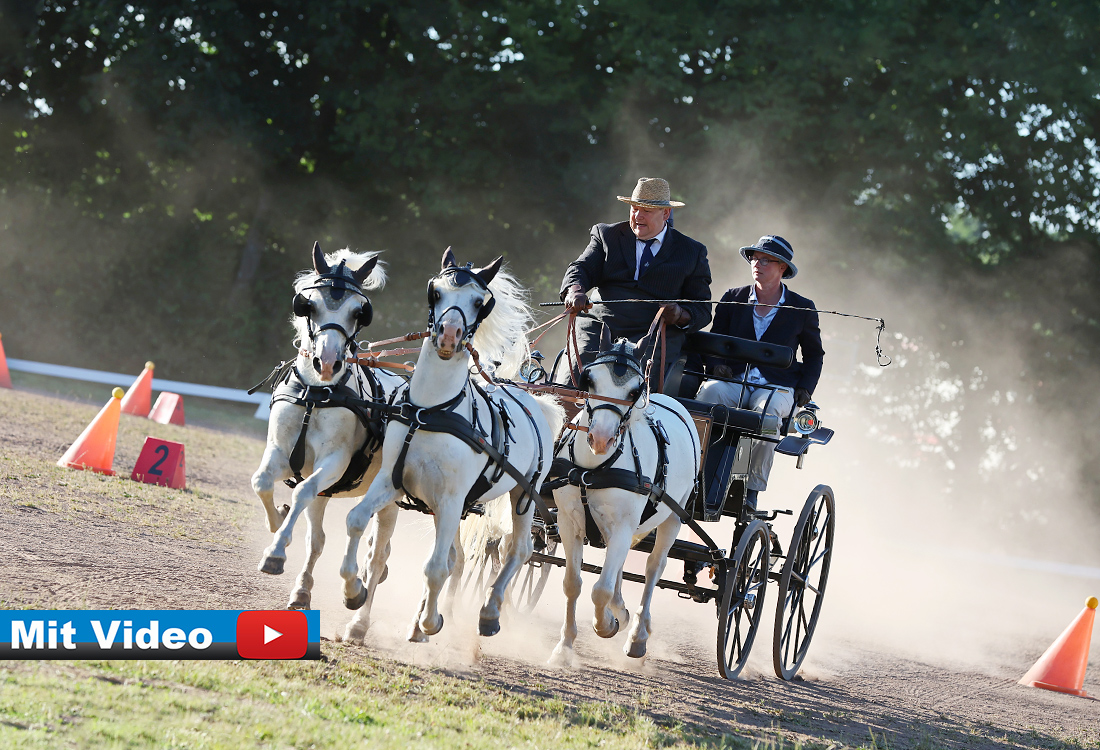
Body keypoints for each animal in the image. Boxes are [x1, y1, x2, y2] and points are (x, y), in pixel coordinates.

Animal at [250, 242, 407, 611]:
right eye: (308, 303)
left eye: (359, 312)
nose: (328, 363)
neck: (315, 394)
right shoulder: (282, 453)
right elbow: (262, 482)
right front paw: (278, 521)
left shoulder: (333, 462)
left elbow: (301, 491)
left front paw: (276, 551)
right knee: (318, 540)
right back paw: (302, 590)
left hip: (389, 499)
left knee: (377, 555)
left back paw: (358, 595)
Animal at [338, 248, 564, 644]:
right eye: (436, 292)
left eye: (479, 302)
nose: (448, 335)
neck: (431, 411)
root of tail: (534, 400)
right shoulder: (392, 482)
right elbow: (356, 520)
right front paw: (354, 592)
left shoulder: (451, 499)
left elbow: (435, 567)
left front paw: (431, 622)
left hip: (523, 494)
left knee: (516, 550)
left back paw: (488, 613)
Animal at [546, 327, 702, 665]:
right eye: (589, 380)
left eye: (634, 391)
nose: (601, 439)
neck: (592, 470)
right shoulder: (567, 522)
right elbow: (572, 584)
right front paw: (564, 647)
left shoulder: (622, 527)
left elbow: (599, 590)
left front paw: (605, 624)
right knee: (618, 564)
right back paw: (622, 611)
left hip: (673, 517)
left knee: (653, 568)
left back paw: (637, 636)